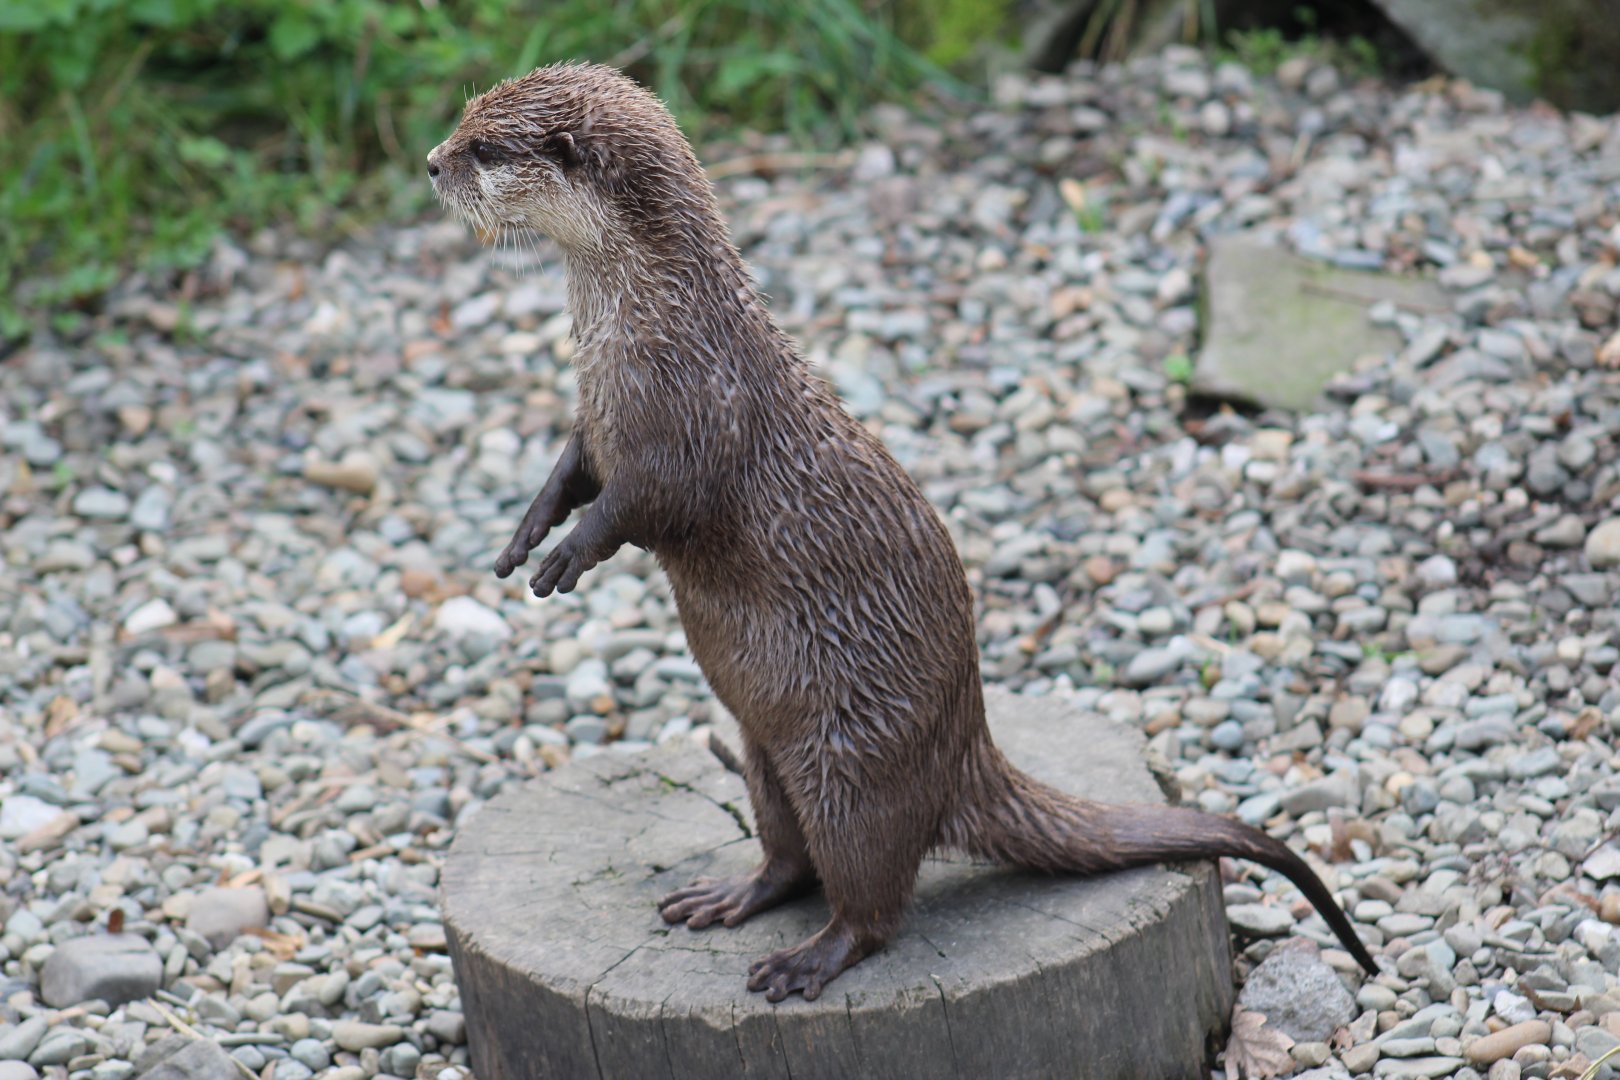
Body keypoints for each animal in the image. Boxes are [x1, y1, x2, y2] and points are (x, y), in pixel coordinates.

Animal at [428, 62, 1377, 1002]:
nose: (433, 162)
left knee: (873, 902)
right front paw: (527, 531)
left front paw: (569, 554)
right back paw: (732, 895)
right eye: (466, 118)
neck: (638, 325)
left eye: (487, 148)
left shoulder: (695, 416)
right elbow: (574, 468)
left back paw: (806, 961)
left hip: (855, 767)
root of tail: (965, 748)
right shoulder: (598, 416)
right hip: (766, 754)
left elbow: (646, 505)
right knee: (791, 858)